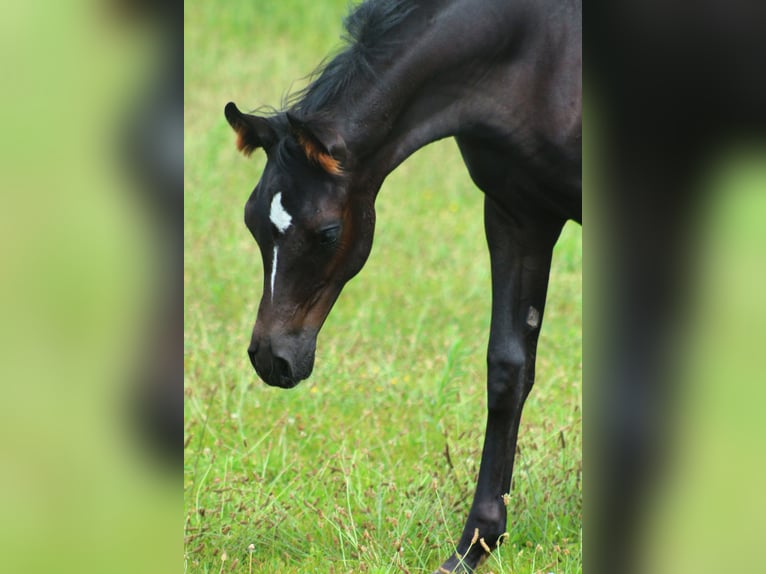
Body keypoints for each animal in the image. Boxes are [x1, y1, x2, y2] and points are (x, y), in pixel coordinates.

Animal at [225, 0, 584, 572]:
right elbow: (508, 368)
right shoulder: (517, 213)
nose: (271, 359)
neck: (540, 53)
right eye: (251, 220)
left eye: (327, 232)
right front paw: (474, 545)